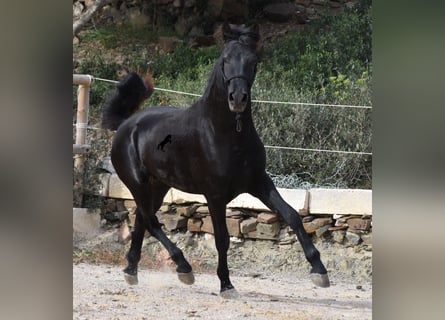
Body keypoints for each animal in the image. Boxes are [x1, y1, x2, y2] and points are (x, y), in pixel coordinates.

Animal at [101, 23, 330, 298]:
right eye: (225, 60)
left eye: (253, 61)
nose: (237, 99)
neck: (226, 134)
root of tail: (126, 124)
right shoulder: (215, 195)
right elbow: (222, 238)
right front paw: (226, 284)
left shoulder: (259, 183)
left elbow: (292, 216)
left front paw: (319, 270)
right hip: (138, 184)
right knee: (151, 221)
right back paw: (184, 268)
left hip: (158, 186)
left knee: (142, 220)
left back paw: (131, 271)